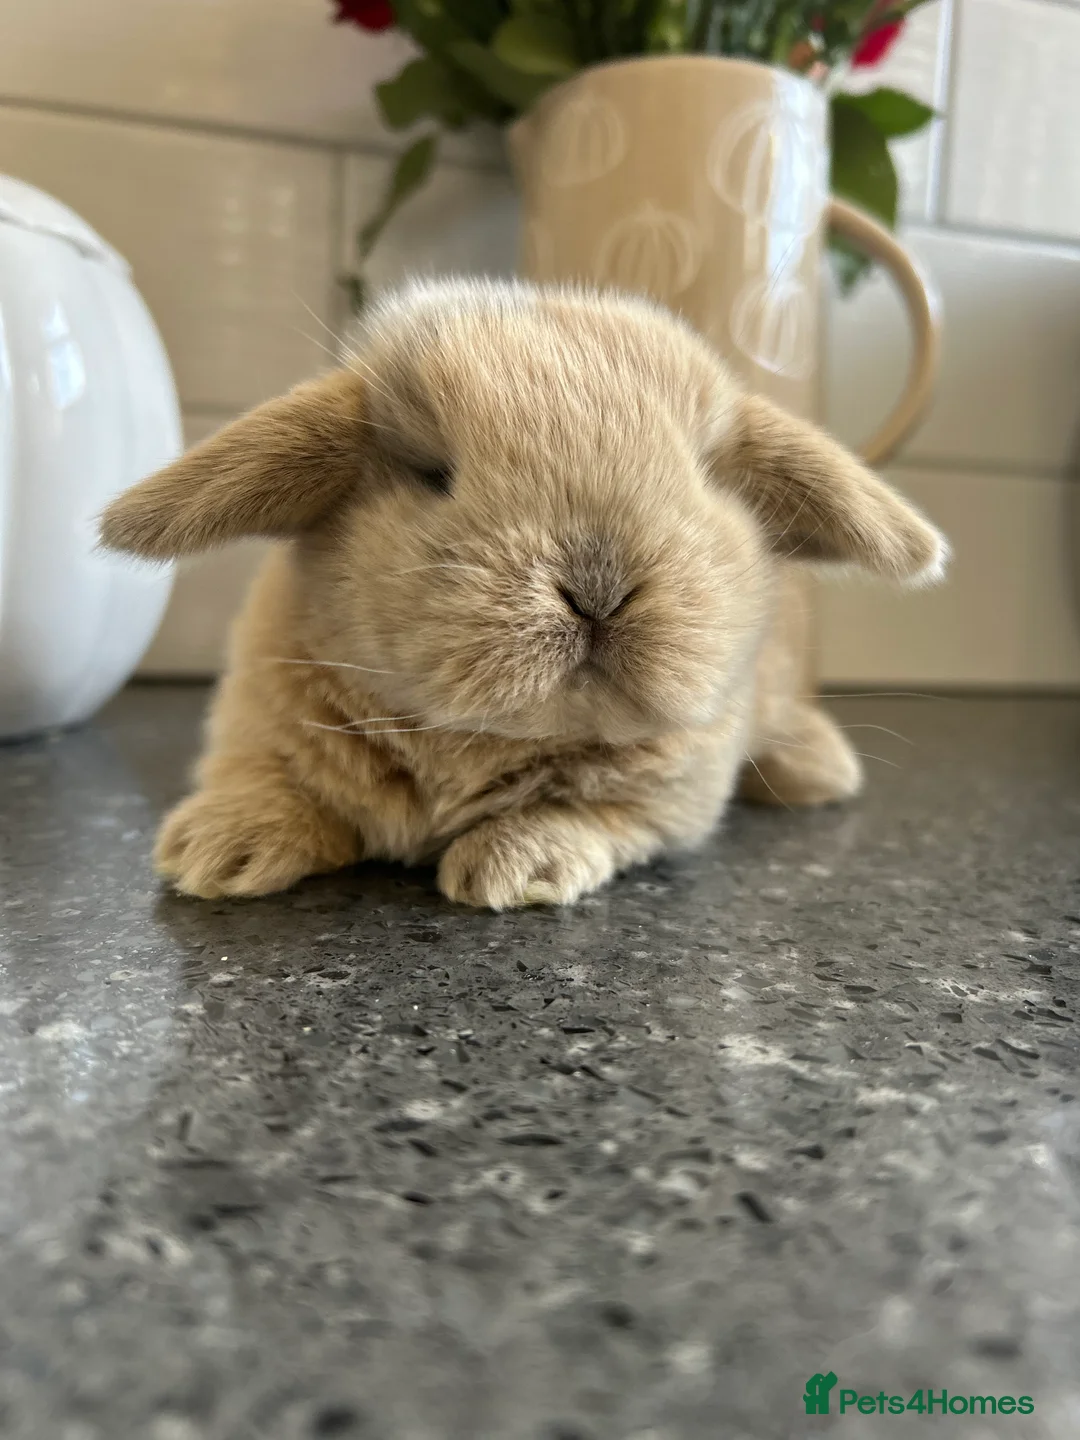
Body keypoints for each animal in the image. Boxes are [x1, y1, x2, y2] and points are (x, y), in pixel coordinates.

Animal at [100, 278, 947, 910]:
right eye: (432, 472)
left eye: (703, 480)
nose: (599, 590)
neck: (475, 739)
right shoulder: (256, 727)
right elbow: (267, 781)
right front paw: (216, 851)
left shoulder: (671, 798)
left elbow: (587, 813)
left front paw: (512, 869)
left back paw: (821, 772)